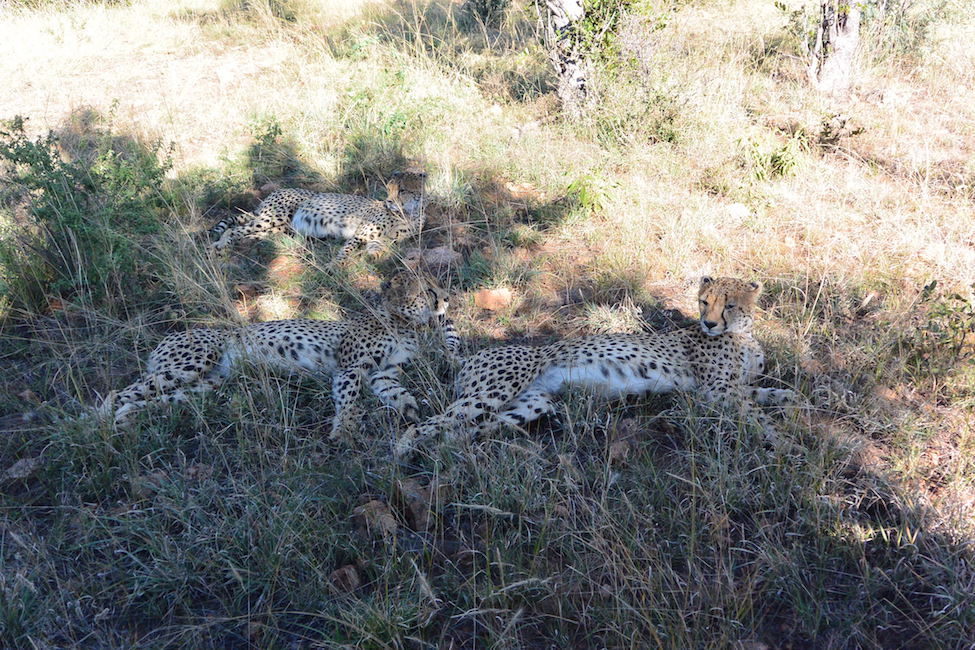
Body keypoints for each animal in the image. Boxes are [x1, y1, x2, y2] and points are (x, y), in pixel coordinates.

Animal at [97, 266, 460, 438]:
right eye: (428, 290)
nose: (446, 297)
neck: (401, 321)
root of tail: (169, 337)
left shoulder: (382, 373)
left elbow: (396, 392)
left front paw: (411, 409)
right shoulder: (351, 367)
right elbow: (349, 398)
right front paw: (343, 429)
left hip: (206, 385)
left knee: (145, 400)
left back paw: (125, 420)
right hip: (192, 363)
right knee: (118, 392)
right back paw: (97, 424)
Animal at [210, 168, 428, 260]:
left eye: (402, 190)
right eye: (389, 189)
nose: (388, 201)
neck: (407, 213)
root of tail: (277, 191)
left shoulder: (380, 239)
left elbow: (378, 247)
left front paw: (374, 256)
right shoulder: (359, 234)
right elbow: (346, 251)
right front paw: (335, 266)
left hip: (279, 229)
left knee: (246, 233)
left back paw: (230, 245)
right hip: (273, 217)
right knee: (233, 230)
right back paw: (218, 246)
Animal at [392, 274, 796, 456]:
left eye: (729, 305)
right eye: (704, 301)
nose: (709, 324)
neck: (742, 333)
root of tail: (472, 356)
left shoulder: (736, 387)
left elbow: (778, 394)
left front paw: (793, 412)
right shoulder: (717, 391)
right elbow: (759, 416)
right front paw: (787, 444)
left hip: (532, 404)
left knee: (464, 430)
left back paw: (455, 450)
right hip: (495, 389)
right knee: (429, 424)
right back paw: (401, 454)